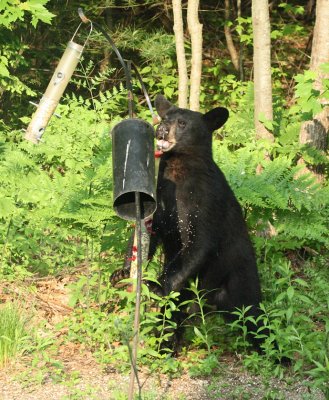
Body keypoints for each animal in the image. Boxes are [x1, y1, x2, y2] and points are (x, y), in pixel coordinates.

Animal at [150, 94, 262, 350]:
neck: (178, 171)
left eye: (182, 123)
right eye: (165, 117)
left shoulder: (204, 200)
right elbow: (152, 230)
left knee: (253, 314)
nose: (161, 129)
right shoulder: (162, 200)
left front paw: (159, 284)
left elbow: (199, 243)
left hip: (240, 278)